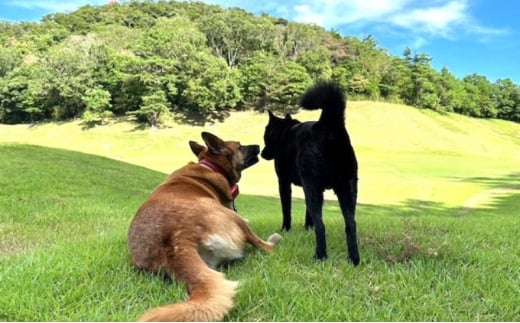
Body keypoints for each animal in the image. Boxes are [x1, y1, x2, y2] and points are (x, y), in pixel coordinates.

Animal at [262, 81, 360, 266]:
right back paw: (354, 260)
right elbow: (308, 213)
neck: (285, 131)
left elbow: (287, 209)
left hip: (314, 188)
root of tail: (328, 124)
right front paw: (308, 227)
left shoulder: (285, 182)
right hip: (347, 189)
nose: (262, 154)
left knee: (322, 226)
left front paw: (286, 229)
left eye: (265, 137)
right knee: (351, 224)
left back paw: (320, 256)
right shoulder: (308, 186)